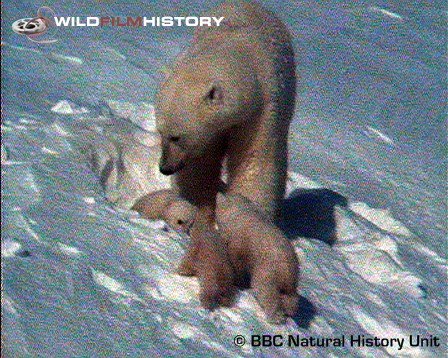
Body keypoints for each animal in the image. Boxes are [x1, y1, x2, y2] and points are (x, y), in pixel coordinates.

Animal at [150, 0, 298, 322]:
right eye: (160, 132)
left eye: (176, 136)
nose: (165, 167)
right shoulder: (211, 134)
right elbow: (199, 172)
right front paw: (202, 217)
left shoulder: (264, 109)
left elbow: (257, 163)